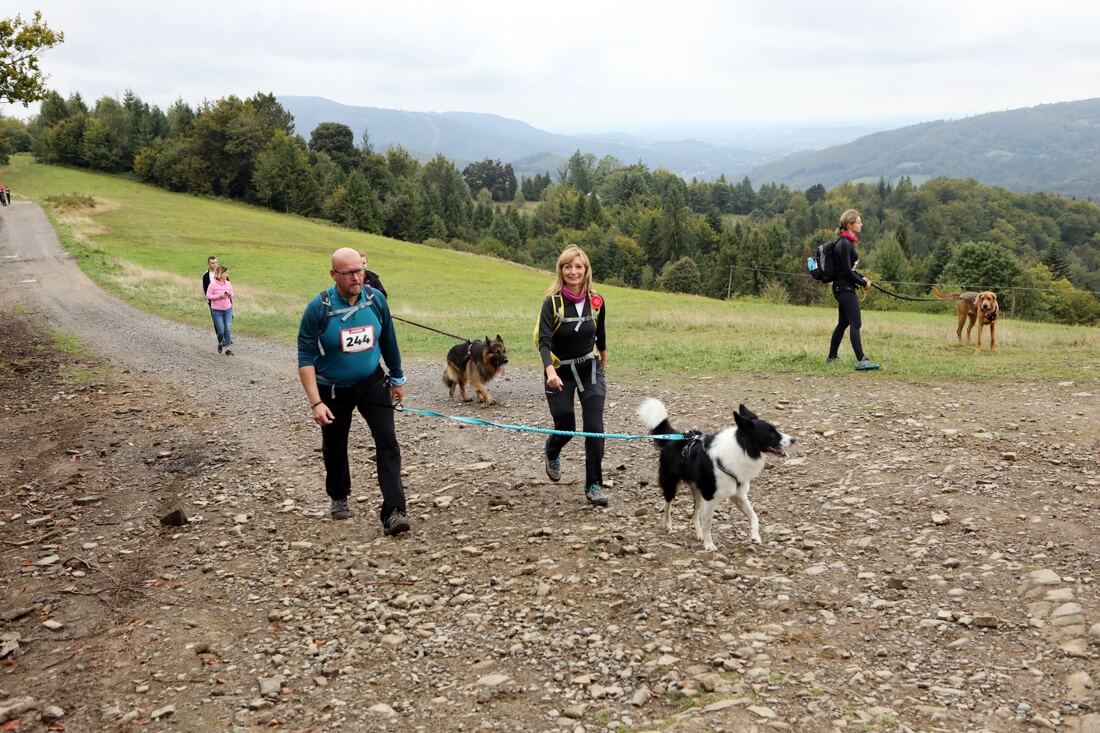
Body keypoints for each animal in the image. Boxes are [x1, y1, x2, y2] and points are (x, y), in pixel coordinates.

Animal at [638, 400, 792, 548]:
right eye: (771, 433)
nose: (793, 440)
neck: (742, 448)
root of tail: (674, 438)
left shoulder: (738, 495)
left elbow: (754, 515)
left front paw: (755, 536)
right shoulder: (710, 497)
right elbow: (708, 523)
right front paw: (709, 545)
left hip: (698, 492)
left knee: (695, 514)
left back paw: (698, 534)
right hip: (672, 485)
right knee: (667, 506)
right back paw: (668, 525)